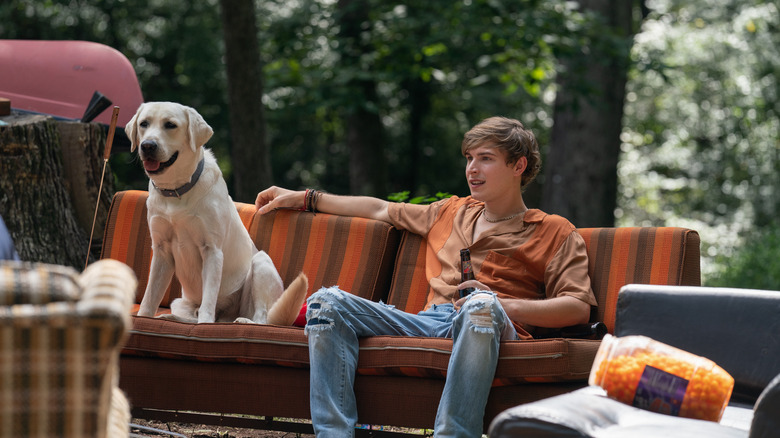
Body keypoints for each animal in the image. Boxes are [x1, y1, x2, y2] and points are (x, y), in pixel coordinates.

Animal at [126, 101, 306, 324]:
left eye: (170, 125)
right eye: (144, 124)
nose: (148, 145)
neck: (176, 190)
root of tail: (225, 318)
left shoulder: (211, 249)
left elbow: (209, 298)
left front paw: (204, 324)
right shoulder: (161, 250)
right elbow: (150, 297)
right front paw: (143, 318)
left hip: (261, 263)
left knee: (261, 317)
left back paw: (242, 321)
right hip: (180, 302)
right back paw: (170, 317)